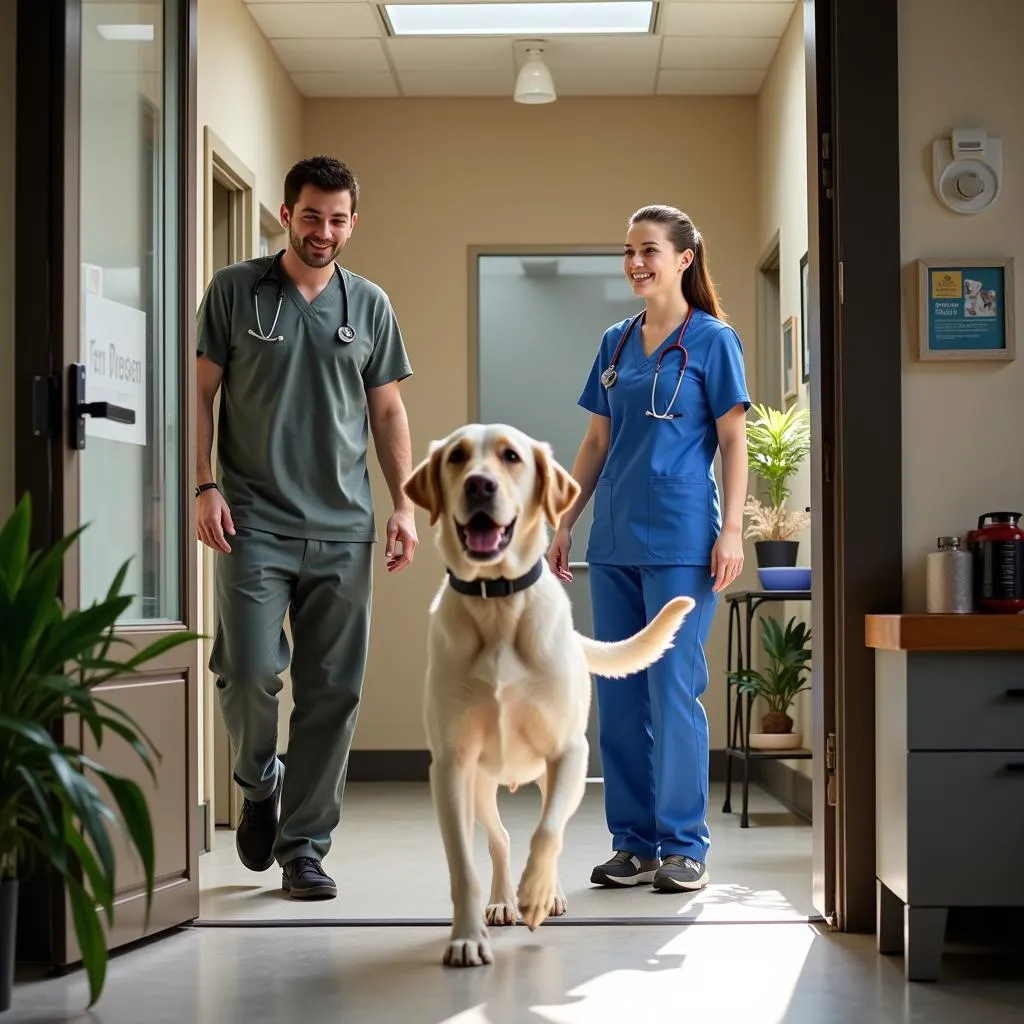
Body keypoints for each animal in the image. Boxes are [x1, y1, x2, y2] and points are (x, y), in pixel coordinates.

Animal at [399, 423, 696, 966]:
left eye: (511, 457)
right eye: (456, 457)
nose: (479, 485)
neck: (497, 602)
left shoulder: (569, 754)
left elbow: (548, 832)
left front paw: (538, 894)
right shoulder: (451, 766)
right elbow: (465, 863)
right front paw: (468, 935)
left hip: (552, 773)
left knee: (546, 827)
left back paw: (547, 892)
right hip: (481, 784)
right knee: (498, 839)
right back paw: (501, 901)